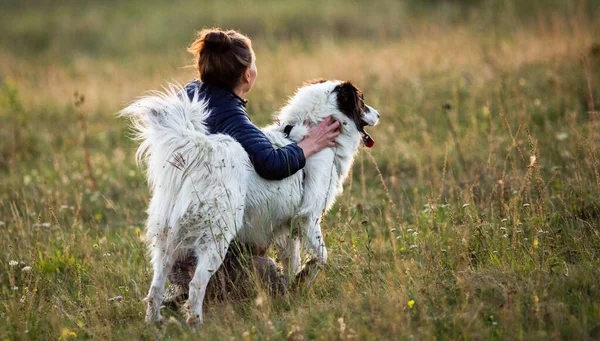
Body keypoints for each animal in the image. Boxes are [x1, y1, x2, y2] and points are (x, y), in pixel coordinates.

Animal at [119, 78, 378, 322]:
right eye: (362, 101)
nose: (378, 114)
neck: (310, 128)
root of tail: (201, 153)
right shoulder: (308, 217)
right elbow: (321, 257)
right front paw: (305, 276)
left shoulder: (288, 226)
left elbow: (292, 261)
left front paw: (290, 290)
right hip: (216, 238)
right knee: (196, 284)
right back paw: (196, 322)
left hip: (167, 240)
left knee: (156, 287)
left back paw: (154, 322)